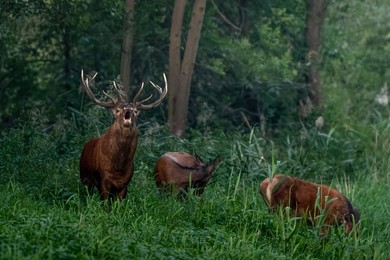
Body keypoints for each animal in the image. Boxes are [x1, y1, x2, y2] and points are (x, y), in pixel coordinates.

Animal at [79, 70, 168, 200]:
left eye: (135, 111)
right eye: (117, 110)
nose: (128, 109)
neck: (119, 167)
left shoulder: (125, 184)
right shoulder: (103, 179)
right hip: (84, 176)